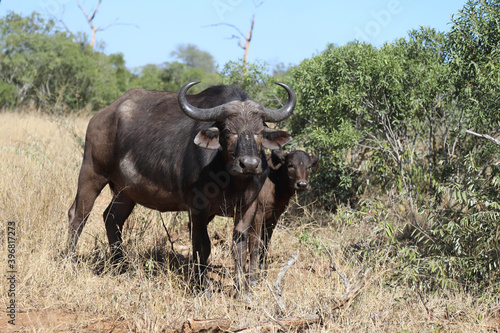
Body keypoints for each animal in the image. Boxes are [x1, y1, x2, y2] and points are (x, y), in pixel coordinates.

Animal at [65, 81, 292, 290]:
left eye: (260, 131)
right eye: (228, 130)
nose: (249, 164)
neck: (231, 179)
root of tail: (102, 116)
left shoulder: (248, 207)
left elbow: (241, 246)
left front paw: (242, 289)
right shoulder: (198, 209)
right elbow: (203, 246)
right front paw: (203, 288)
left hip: (125, 192)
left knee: (112, 218)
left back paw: (121, 266)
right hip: (91, 173)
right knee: (78, 215)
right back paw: (70, 260)